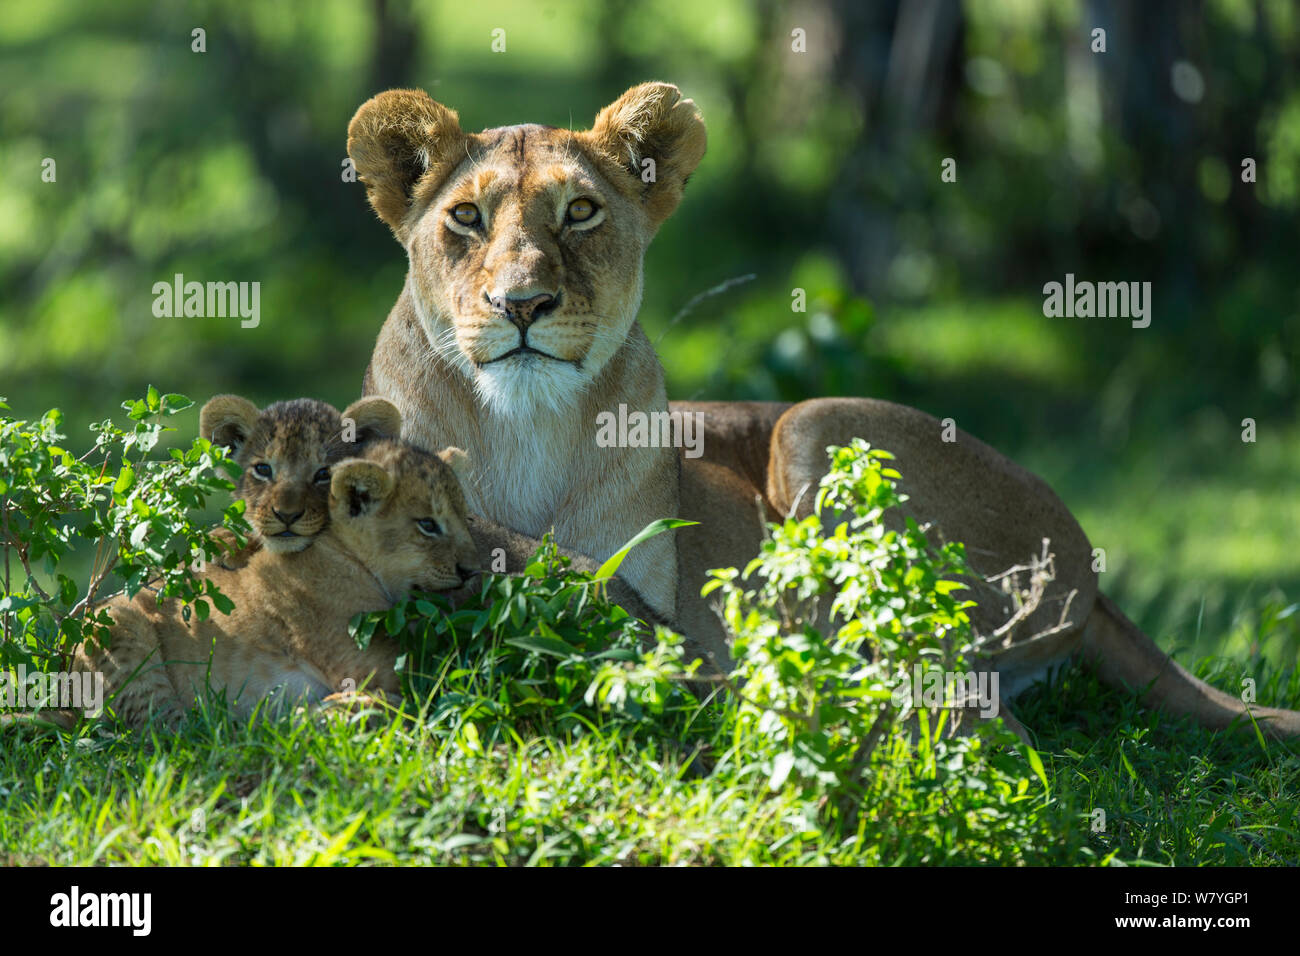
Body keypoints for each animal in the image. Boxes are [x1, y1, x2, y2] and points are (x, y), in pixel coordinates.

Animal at [347, 82, 1300, 739]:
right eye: (465, 219)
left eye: (580, 211)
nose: (521, 304)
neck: (525, 427)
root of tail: (1093, 573)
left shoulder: (661, 602)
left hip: (815, 426)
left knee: (974, 707)